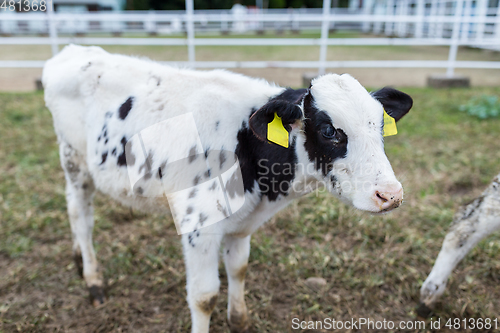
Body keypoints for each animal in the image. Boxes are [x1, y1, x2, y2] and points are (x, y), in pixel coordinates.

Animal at [42, 44, 410, 332]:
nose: (390, 194)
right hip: (75, 163)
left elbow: (239, 269)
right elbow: (204, 297)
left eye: (381, 125)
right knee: (80, 215)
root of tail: (73, 52)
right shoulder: (198, 225)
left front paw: (240, 320)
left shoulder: (242, 223)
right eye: (329, 131)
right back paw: (92, 278)